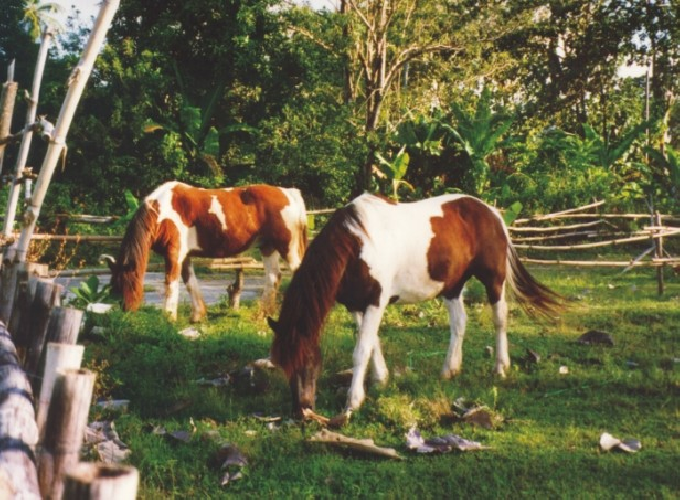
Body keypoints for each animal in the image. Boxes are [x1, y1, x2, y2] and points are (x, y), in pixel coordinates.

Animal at [104, 181, 307, 322]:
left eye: (127, 282)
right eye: (114, 285)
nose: (126, 311)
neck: (162, 212)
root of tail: (289, 193)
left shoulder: (174, 254)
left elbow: (171, 283)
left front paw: (168, 317)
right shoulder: (185, 256)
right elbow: (189, 282)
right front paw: (198, 316)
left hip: (287, 248)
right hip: (268, 247)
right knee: (274, 277)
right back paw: (262, 314)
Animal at [267, 193, 562, 421]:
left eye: (306, 360)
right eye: (283, 364)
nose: (301, 411)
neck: (357, 243)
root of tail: (492, 213)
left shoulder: (375, 301)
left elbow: (361, 350)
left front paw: (354, 401)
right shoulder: (357, 304)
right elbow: (371, 341)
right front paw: (381, 379)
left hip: (494, 279)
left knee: (499, 318)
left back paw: (501, 367)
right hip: (452, 286)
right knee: (459, 323)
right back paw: (449, 370)